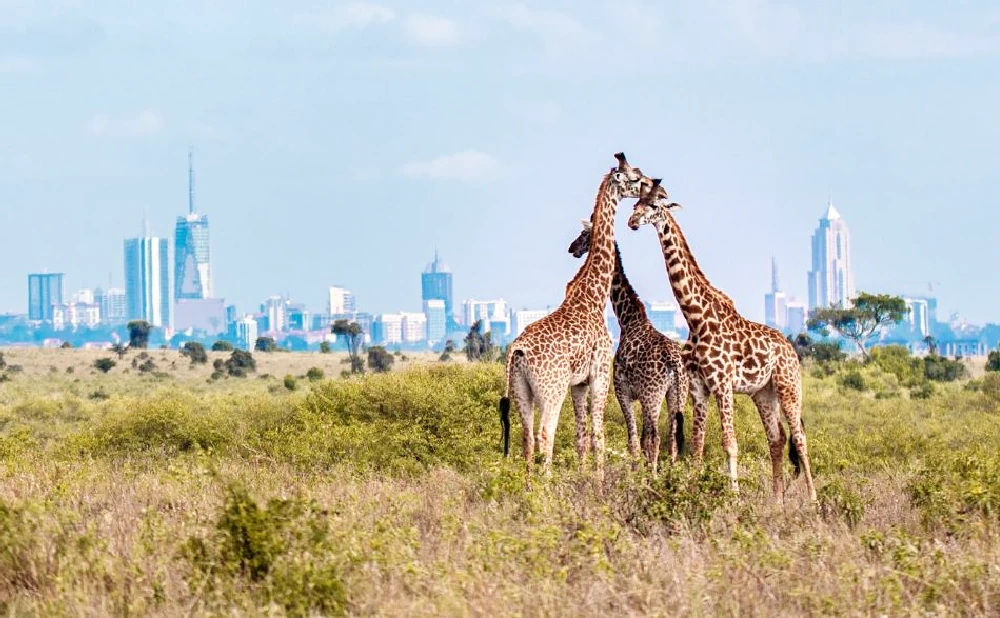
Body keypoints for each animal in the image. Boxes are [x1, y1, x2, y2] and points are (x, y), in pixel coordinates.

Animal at [496, 152, 652, 478]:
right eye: (634, 177)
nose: (652, 185)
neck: (593, 296)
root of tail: (517, 349)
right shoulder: (600, 372)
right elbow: (598, 435)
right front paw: (598, 483)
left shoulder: (578, 383)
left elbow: (581, 437)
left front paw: (583, 479)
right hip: (551, 389)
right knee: (545, 434)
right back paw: (546, 485)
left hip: (521, 390)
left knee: (527, 437)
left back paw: (529, 488)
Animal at [568, 217, 692, 472]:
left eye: (584, 234)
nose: (572, 248)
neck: (628, 319)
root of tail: (674, 361)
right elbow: (641, 440)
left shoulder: (623, 391)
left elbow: (634, 439)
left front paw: (636, 474)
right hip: (677, 393)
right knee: (673, 437)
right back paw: (672, 473)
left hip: (653, 395)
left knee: (656, 437)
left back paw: (654, 476)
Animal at [628, 178, 816, 500]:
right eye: (634, 203)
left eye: (653, 205)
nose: (632, 221)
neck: (695, 318)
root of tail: (791, 349)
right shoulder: (698, 388)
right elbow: (698, 445)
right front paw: (692, 492)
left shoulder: (722, 383)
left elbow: (730, 443)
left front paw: (734, 498)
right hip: (762, 392)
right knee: (776, 438)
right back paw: (777, 501)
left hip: (788, 386)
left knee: (800, 438)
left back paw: (814, 502)